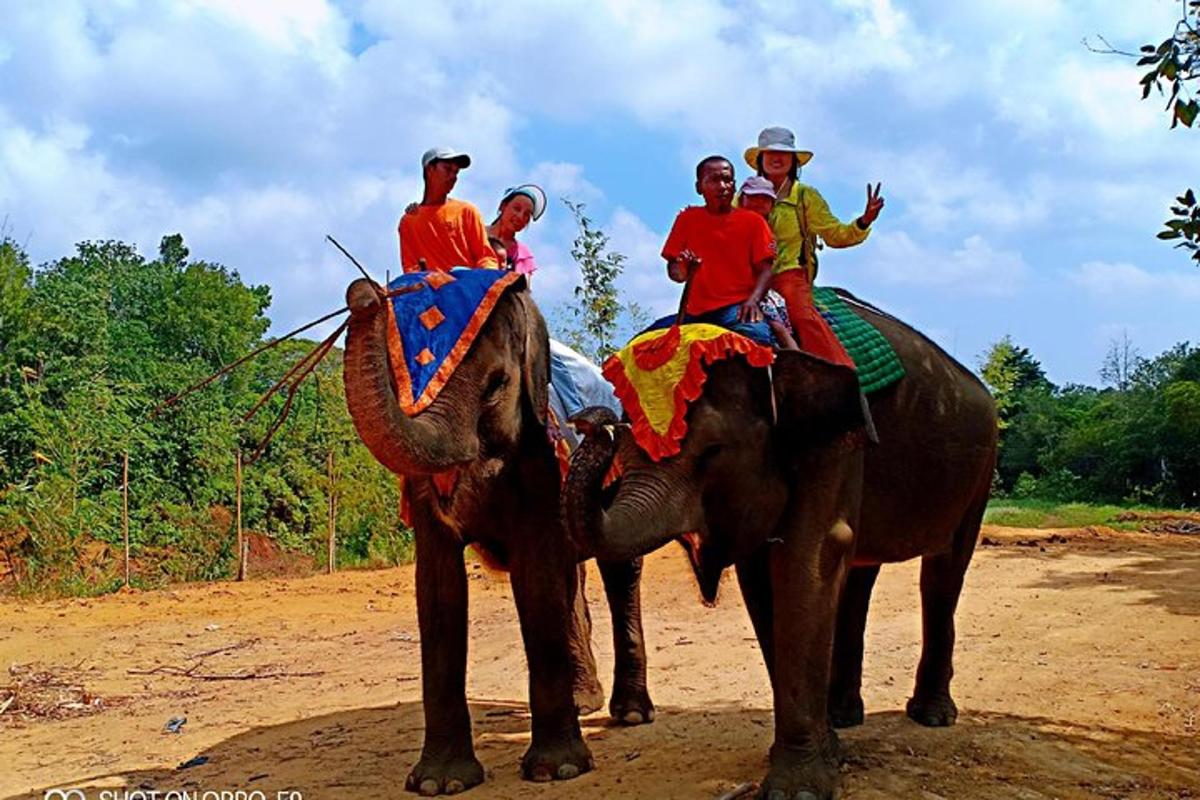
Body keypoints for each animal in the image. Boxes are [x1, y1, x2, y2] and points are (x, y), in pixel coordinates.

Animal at [343, 275, 652, 796]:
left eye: (496, 385)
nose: (362, 294)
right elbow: (438, 588)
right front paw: (439, 783)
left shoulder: (539, 456)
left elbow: (535, 579)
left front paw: (557, 771)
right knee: (571, 581)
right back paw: (583, 701)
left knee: (617, 571)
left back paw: (629, 714)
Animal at [566, 296, 998, 800]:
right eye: (624, 445)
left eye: (713, 451)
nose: (591, 420)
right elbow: (762, 578)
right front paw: (828, 752)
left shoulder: (835, 443)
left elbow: (808, 557)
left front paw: (800, 788)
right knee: (862, 576)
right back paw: (844, 717)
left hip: (981, 470)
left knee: (943, 573)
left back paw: (931, 716)